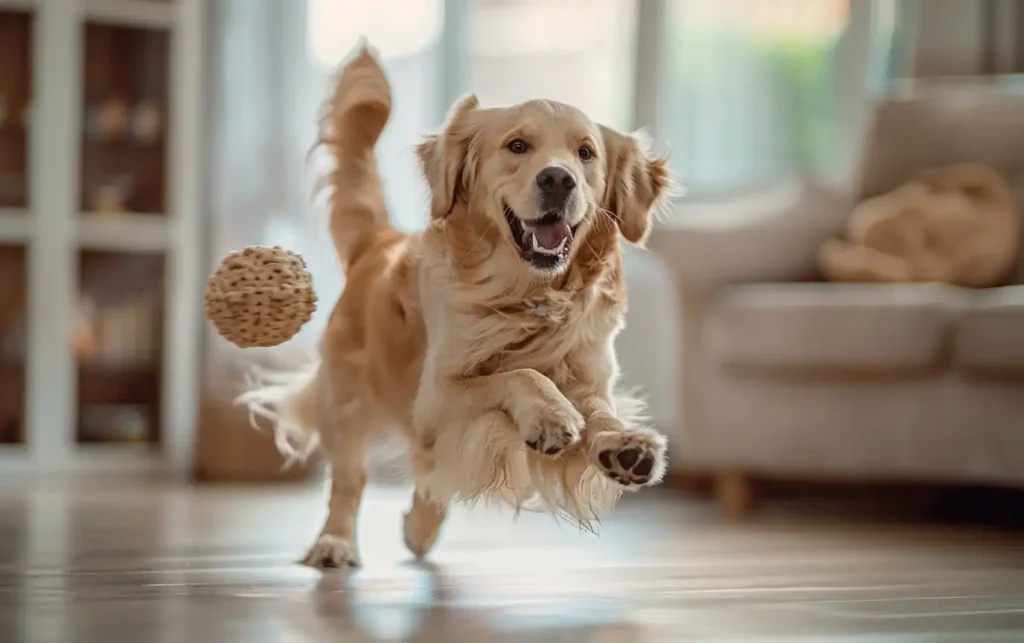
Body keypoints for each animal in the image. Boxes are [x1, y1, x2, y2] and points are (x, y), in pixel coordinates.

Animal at [238, 45, 671, 569]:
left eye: (585, 153)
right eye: (517, 146)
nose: (558, 179)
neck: (531, 296)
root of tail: (379, 240)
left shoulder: (590, 376)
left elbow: (600, 412)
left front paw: (624, 445)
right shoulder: (436, 395)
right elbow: (522, 375)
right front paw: (551, 414)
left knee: (430, 474)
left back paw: (420, 530)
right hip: (347, 398)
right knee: (351, 480)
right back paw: (336, 542)